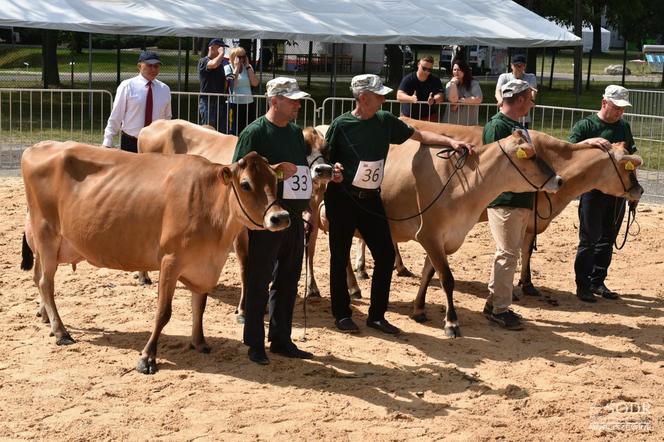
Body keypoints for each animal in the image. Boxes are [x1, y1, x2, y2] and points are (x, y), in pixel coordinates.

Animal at [22, 142, 294, 372]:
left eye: (275, 179)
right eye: (245, 184)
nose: (280, 217)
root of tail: (38, 147)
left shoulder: (204, 265)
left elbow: (200, 305)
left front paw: (199, 342)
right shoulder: (170, 260)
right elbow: (163, 312)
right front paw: (147, 357)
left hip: (53, 245)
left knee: (38, 278)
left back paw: (46, 317)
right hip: (46, 234)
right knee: (46, 282)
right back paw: (61, 332)